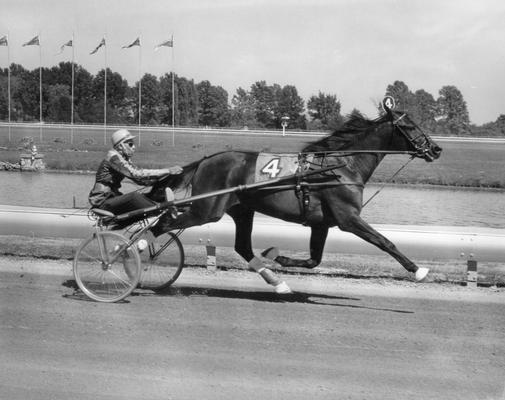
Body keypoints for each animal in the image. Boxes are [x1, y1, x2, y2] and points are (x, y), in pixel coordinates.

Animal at [147, 106, 440, 294]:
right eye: (409, 126)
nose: (436, 149)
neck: (341, 166)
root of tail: (206, 160)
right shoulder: (348, 218)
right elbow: (384, 241)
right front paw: (418, 271)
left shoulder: (321, 223)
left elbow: (314, 260)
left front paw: (278, 256)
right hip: (207, 210)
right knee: (161, 224)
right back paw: (141, 253)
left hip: (241, 209)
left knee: (243, 246)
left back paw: (278, 283)